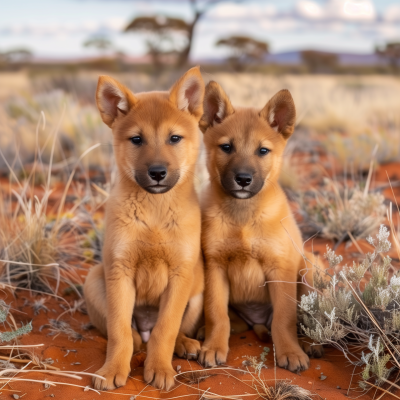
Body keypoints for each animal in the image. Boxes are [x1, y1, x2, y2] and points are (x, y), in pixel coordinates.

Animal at [83, 67, 205, 390]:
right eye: (137, 139)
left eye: (174, 138)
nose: (157, 173)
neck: (154, 215)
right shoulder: (120, 270)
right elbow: (119, 331)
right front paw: (112, 370)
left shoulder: (180, 274)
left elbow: (166, 329)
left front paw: (160, 368)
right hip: (94, 280)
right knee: (133, 334)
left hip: (199, 290)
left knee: (172, 331)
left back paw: (186, 344)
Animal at [199, 80, 322, 372]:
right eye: (226, 147)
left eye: (262, 151)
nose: (243, 179)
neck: (243, 218)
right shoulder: (214, 266)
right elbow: (216, 314)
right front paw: (214, 347)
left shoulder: (280, 269)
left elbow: (284, 320)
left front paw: (290, 352)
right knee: (235, 322)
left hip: (309, 267)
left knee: (305, 319)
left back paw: (311, 343)